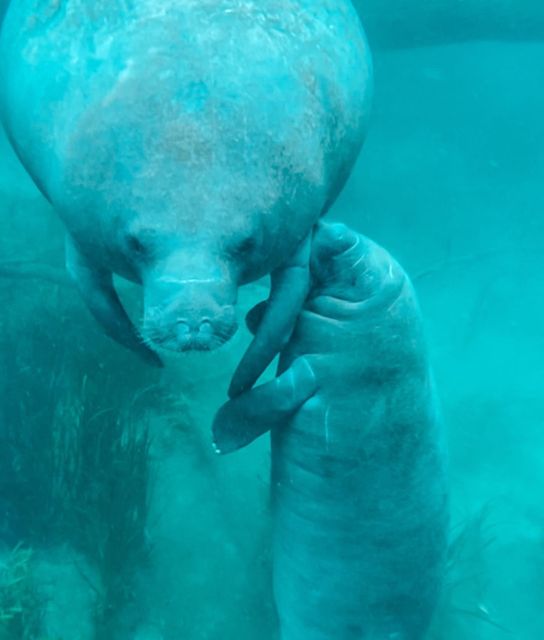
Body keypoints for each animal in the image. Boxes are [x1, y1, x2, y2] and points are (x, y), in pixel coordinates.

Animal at [0, 2, 372, 388]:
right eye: (136, 244)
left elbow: (278, 322)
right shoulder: (79, 225)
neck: (191, 144)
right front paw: (151, 358)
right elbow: (99, 303)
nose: (193, 323)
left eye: (245, 244)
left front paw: (238, 385)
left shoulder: (296, 232)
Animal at [215, 221, 448, 640]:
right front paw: (255, 315)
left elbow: (261, 403)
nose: (329, 226)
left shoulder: (320, 371)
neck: (365, 313)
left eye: (359, 278)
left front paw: (219, 434)